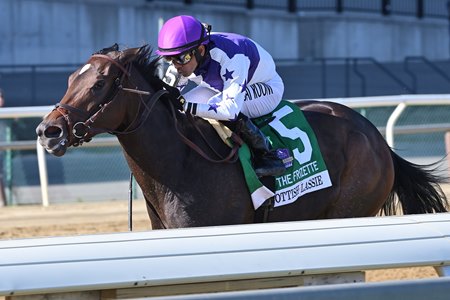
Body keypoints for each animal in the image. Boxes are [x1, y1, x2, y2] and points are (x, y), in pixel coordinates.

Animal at [34, 44, 446, 229]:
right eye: (70, 80)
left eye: (99, 84)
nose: (47, 130)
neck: (181, 166)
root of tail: (376, 137)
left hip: (350, 209)